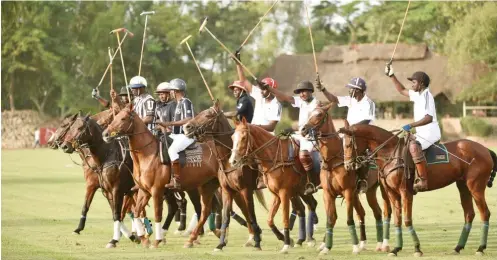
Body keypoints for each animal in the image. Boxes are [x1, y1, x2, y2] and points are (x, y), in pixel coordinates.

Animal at [101, 104, 250, 247]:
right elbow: (137, 212)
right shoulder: (143, 191)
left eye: (123, 119)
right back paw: (195, 238)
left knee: (240, 207)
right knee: (205, 210)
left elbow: (157, 214)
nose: (105, 134)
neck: (147, 154)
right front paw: (143, 239)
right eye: (115, 117)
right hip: (207, 185)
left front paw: (156, 240)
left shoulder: (156, 191)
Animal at [298, 103, 392, 254]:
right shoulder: (328, 194)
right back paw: (367, 243)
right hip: (369, 191)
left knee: (386, 212)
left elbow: (348, 219)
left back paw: (383, 244)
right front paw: (326, 247)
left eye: (319, 114)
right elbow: (331, 218)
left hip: (383, 189)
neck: (332, 161)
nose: (303, 130)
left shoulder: (347, 192)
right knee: (371, 212)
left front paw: (354, 247)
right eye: (310, 113)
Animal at [340, 123, 494, 256]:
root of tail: (486, 149)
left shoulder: (405, 192)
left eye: (348, 145)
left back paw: (480, 248)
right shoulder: (392, 193)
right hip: (463, 186)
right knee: (469, 214)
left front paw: (417, 249)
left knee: (485, 213)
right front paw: (396, 249)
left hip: (476, 186)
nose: (348, 166)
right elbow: (397, 220)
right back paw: (458, 247)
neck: (390, 153)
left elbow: (407, 220)